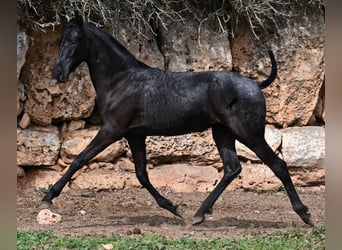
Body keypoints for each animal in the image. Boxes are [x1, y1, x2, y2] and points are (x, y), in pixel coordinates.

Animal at [40, 17, 312, 227]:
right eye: (61, 41)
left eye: (74, 40)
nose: (58, 73)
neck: (121, 80)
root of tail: (255, 84)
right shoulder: (135, 135)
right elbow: (141, 174)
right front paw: (174, 207)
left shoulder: (112, 130)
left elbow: (80, 159)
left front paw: (48, 197)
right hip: (222, 133)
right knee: (232, 168)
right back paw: (198, 214)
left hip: (249, 133)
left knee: (278, 165)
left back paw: (305, 215)